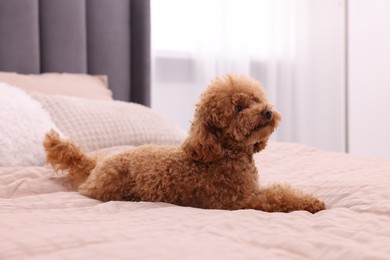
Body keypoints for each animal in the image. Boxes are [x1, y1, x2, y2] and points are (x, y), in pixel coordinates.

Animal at [43, 74, 326, 212]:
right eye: (238, 108)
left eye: (257, 100)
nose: (267, 112)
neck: (223, 152)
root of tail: (98, 163)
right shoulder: (238, 201)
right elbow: (277, 197)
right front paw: (310, 204)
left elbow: (280, 190)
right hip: (108, 189)